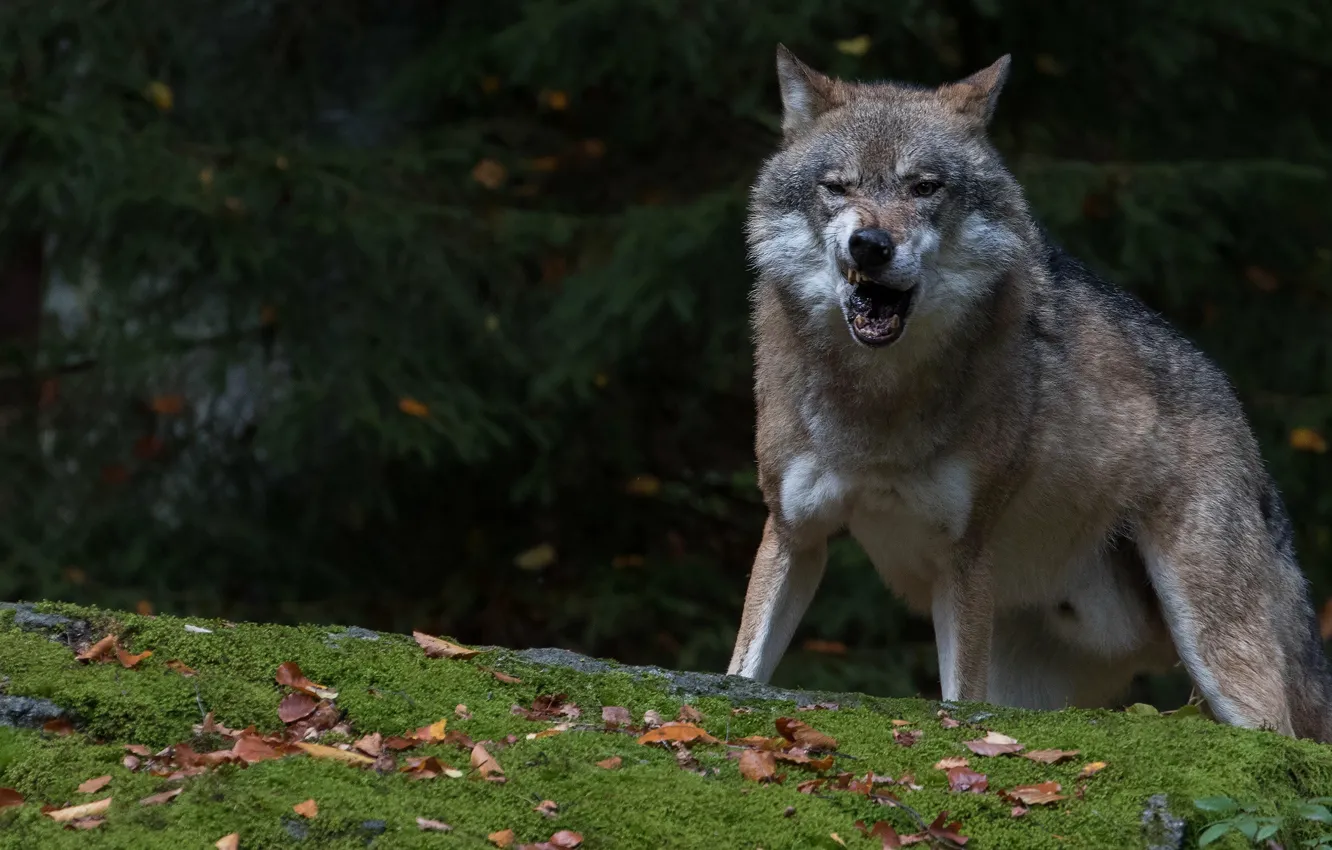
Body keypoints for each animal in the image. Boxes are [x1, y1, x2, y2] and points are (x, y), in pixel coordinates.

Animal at [726, 44, 1332, 742]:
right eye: (838, 187)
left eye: (924, 187)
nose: (871, 245)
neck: (878, 402)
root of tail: (1236, 410)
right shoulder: (794, 533)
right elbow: (743, 669)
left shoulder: (963, 558)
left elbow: (958, 700)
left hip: (1219, 655)